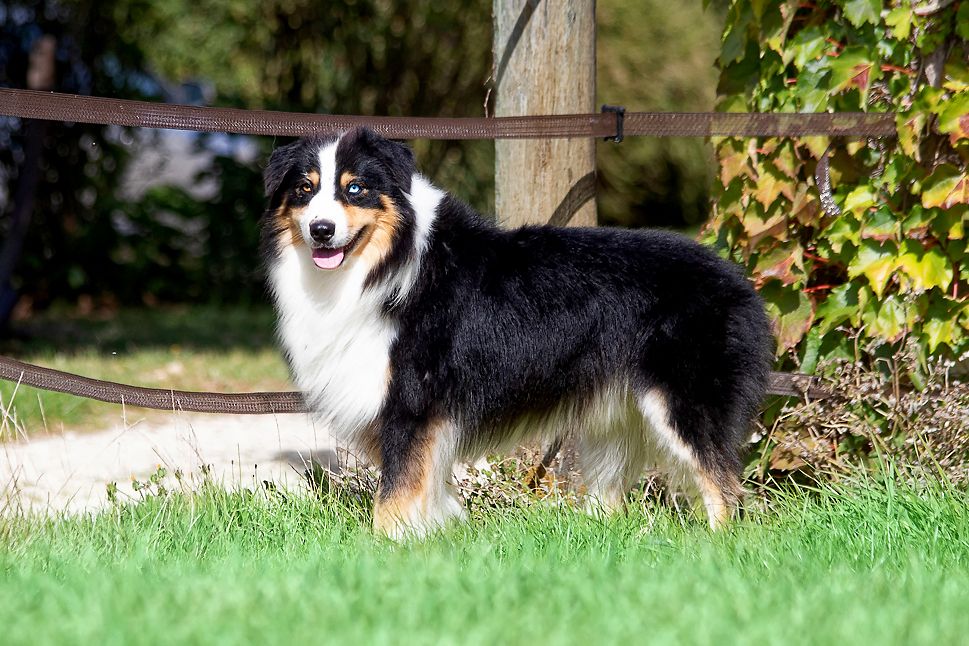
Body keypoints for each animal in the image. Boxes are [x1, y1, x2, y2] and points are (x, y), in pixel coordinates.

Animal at [260, 128, 772, 540]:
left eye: (356, 188)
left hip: (685, 402)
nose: (321, 230)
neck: (386, 264)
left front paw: (387, 547)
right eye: (305, 189)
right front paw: (436, 534)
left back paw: (718, 546)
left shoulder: (413, 403)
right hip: (619, 417)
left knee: (724, 485)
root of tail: (738, 282)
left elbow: (395, 493)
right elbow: (428, 485)